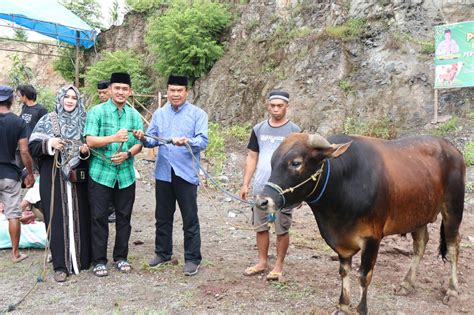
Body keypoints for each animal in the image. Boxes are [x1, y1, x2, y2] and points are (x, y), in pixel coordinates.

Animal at [254, 134, 464, 315]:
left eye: (296, 163)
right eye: (272, 162)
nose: (262, 201)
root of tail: (452, 149)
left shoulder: (372, 238)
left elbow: (364, 275)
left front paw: (361, 309)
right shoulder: (341, 242)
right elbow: (344, 271)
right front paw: (343, 306)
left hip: (453, 209)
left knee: (453, 246)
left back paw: (452, 290)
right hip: (419, 214)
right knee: (420, 244)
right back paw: (406, 284)